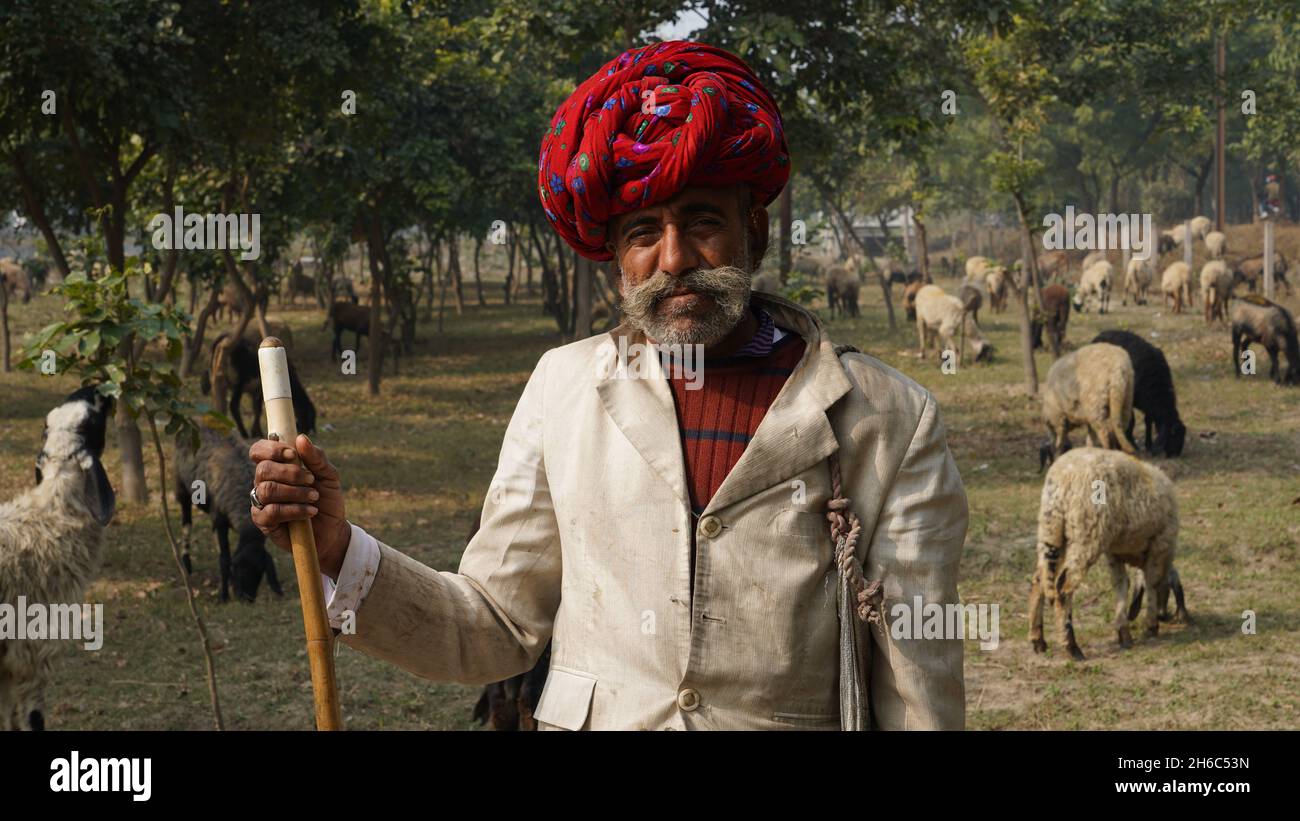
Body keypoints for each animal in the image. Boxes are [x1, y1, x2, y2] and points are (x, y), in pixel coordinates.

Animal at [172, 426, 282, 600]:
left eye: (260, 572)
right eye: (241, 570)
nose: (247, 599)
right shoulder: (219, 522)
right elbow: (224, 560)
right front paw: (223, 595)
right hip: (181, 487)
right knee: (186, 523)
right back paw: (186, 563)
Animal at [1029, 446, 1185, 657]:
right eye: (1168, 589)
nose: (1164, 616)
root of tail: (1062, 476)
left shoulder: (1114, 552)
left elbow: (1122, 585)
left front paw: (1124, 633)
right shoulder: (1159, 545)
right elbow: (1151, 583)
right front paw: (1151, 626)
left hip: (1051, 530)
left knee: (1039, 581)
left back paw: (1038, 640)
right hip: (1086, 535)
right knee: (1063, 587)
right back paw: (1071, 646)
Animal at [1092, 329, 1185, 459]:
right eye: (1173, 434)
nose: (1176, 455)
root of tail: (1100, 334)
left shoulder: (1149, 405)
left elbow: (1148, 422)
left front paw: (1148, 444)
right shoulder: (1129, 399)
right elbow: (1132, 421)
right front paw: (1131, 444)